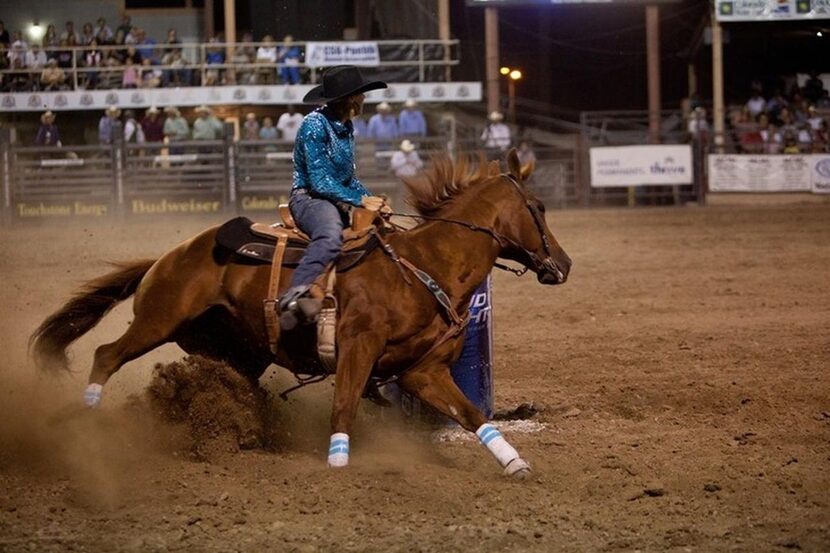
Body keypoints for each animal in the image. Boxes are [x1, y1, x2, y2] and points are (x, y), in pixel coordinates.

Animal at [27, 149, 572, 476]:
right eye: (540, 207)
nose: (564, 264)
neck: (424, 265)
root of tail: (167, 255)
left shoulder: (424, 371)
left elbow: (471, 413)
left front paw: (514, 463)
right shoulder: (357, 348)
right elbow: (344, 406)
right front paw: (338, 463)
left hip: (236, 352)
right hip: (157, 320)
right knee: (106, 354)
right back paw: (86, 422)